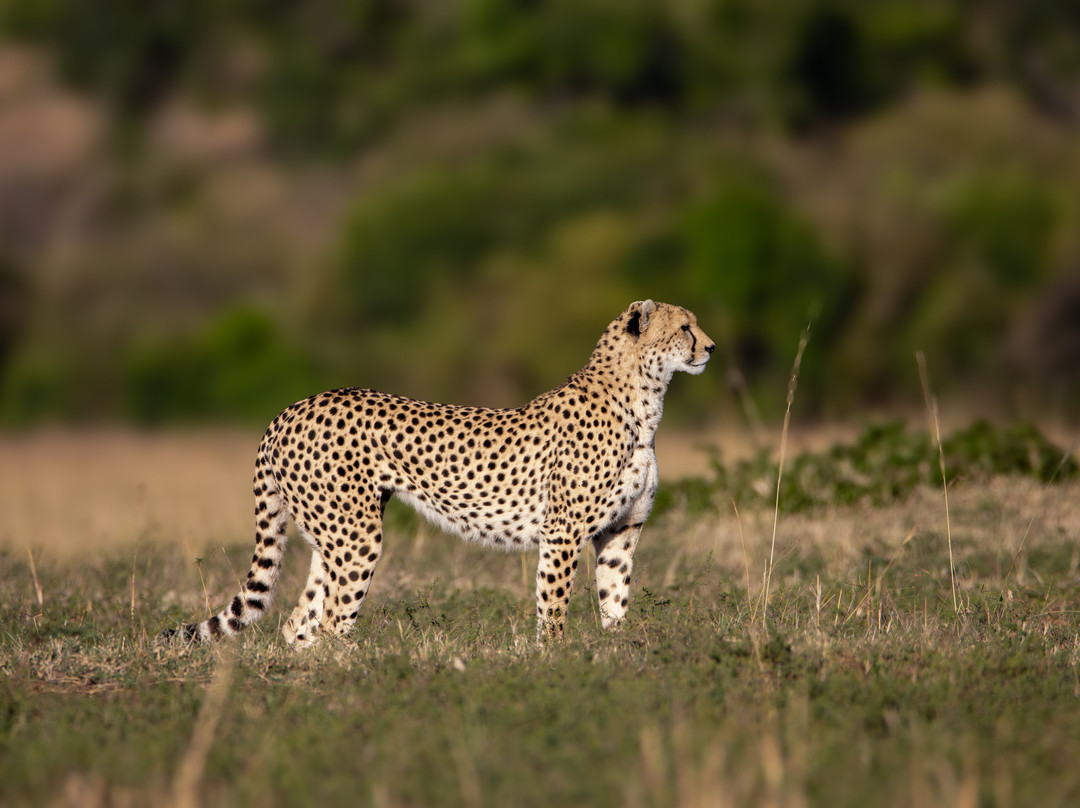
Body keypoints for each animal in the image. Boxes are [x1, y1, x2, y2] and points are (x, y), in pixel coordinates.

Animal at [171, 299, 714, 647]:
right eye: (686, 327)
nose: (710, 348)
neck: (643, 400)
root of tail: (293, 407)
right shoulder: (563, 532)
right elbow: (554, 607)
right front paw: (557, 663)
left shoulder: (621, 530)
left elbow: (614, 600)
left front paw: (618, 660)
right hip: (356, 536)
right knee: (330, 623)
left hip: (332, 536)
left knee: (298, 623)